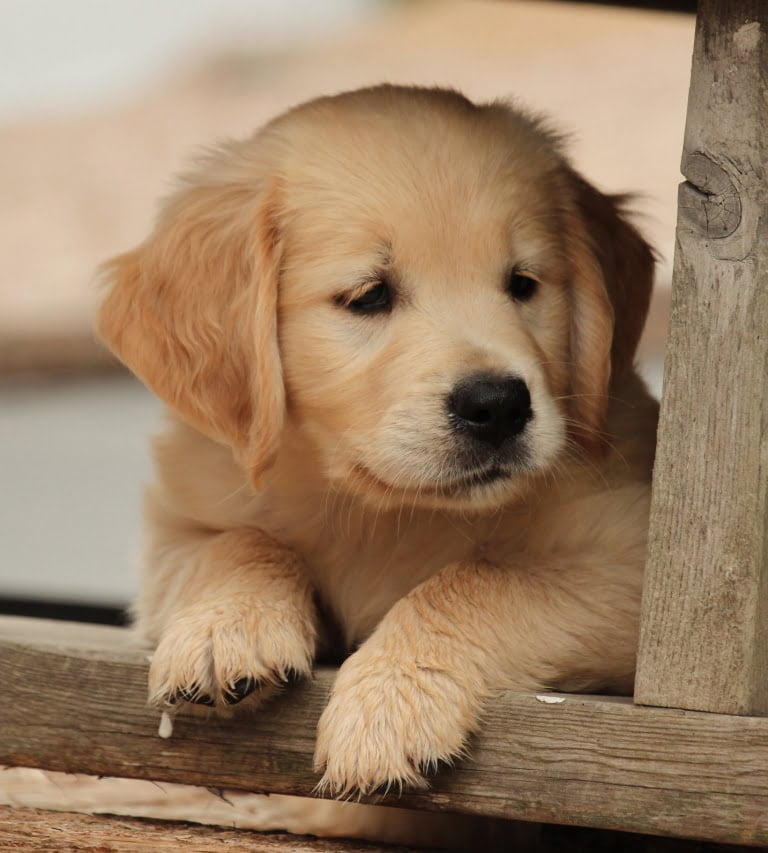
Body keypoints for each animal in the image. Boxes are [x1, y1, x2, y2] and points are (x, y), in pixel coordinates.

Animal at [99, 83, 656, 796]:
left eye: (523, 284)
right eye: (369, 295)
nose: (498, 405)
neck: (384, 509)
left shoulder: (637, 558)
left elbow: (484, 578)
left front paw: (388, 704)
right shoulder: (174, 531)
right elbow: (238, 540)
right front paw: (223, 627)